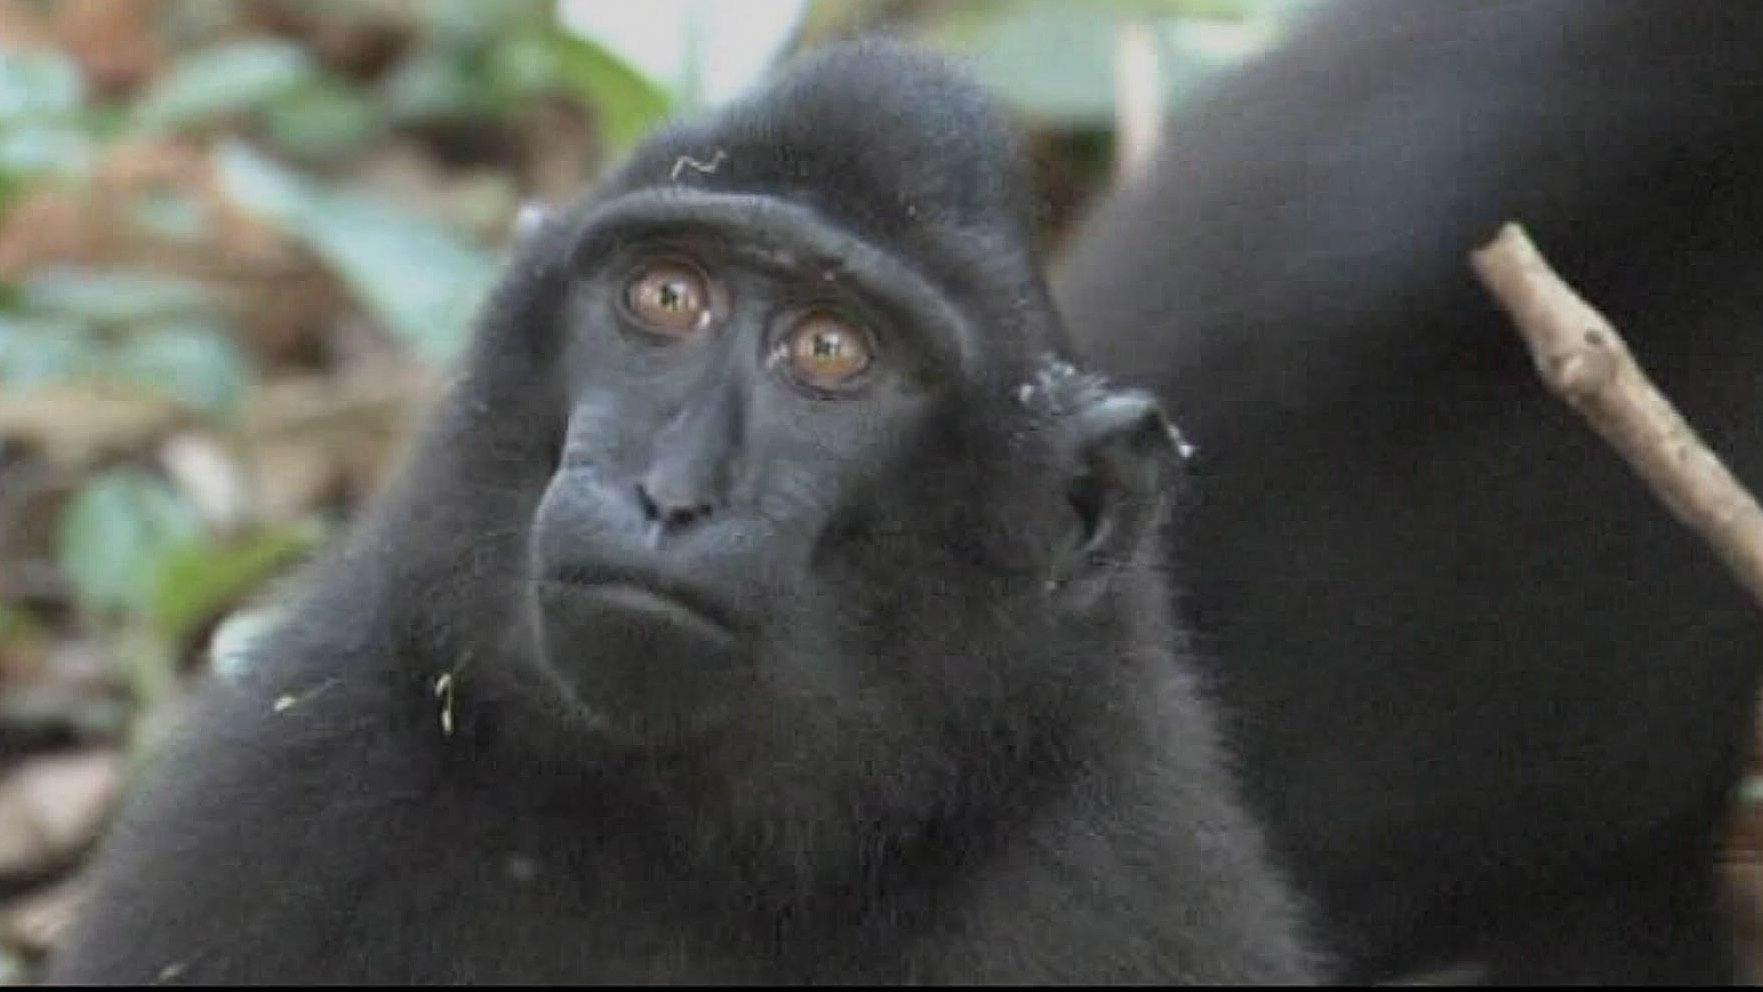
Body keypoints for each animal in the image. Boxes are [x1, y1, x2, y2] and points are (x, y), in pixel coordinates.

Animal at [46, 42, 1316, 984]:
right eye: (665, 295)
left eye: (830, 351)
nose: (669, 495)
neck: (685, 842)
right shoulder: (284, 774)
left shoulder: (1116, 868)